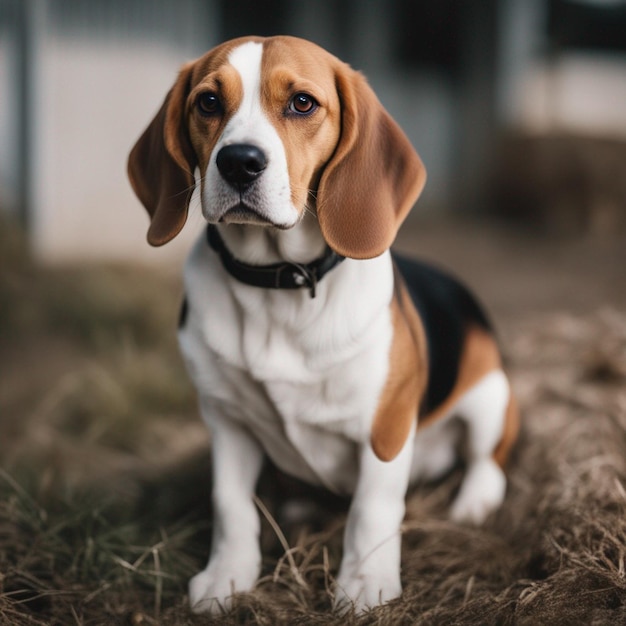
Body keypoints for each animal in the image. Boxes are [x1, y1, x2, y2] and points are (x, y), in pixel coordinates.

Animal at [125, 35, 516, 616]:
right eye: (208, 102)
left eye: (302, 103)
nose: (239, 162)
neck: (280, 285)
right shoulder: (227, 422)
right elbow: (231, 505)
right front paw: (226, 577)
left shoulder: (385, 428)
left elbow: (373, 510)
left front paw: (366, 584)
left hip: (491, 397)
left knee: (487, 461)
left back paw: (472, 504)